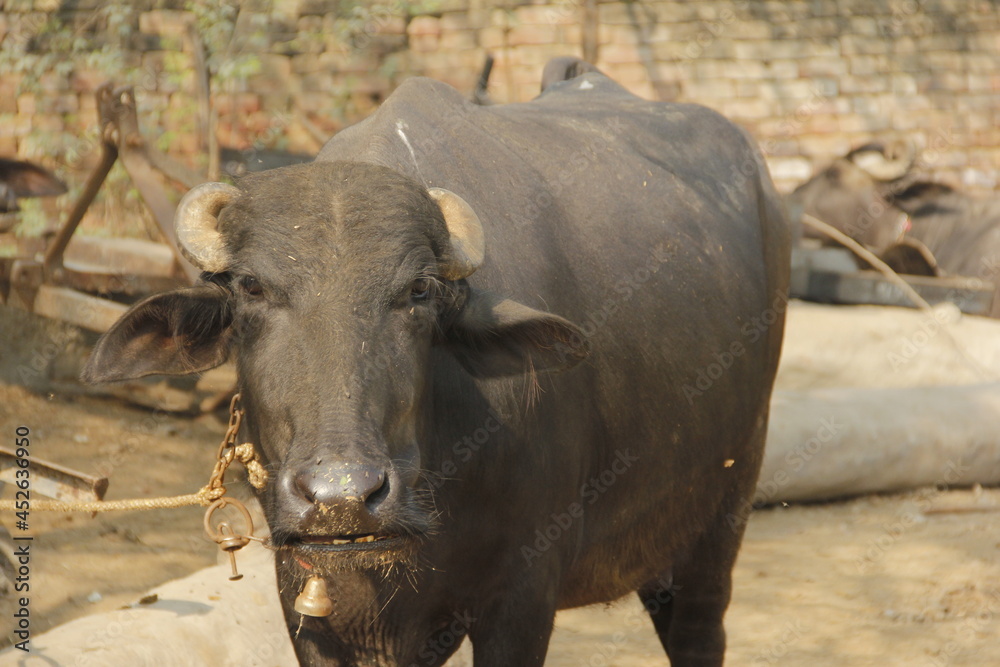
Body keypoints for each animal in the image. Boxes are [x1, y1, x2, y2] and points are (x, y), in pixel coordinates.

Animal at [82, 60, 790, 666]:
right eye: (251, 287)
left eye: (418, 290)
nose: (344, 497)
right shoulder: (304, 599)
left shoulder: (524, 594)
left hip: (725, 509)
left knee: (699, 631)